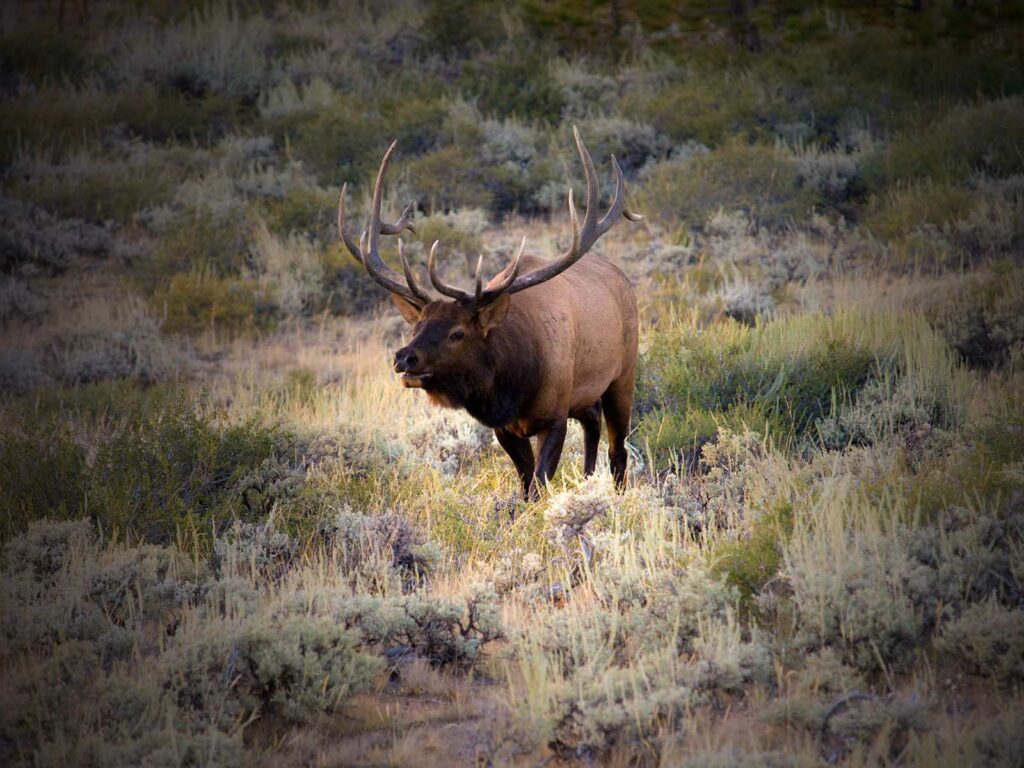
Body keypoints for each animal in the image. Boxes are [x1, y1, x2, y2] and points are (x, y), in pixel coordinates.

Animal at [335, 129, 638, 501]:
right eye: (416, 326)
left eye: (458, 333)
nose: (404, 358)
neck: (513, 385)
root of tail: (622, 278)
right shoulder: (503, 427)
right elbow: (525, 484)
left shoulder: (554, 414)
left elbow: (538, 486)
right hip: (585, 395)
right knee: (593, 423)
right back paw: (587, 481)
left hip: (622, 375)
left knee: (618, 449)